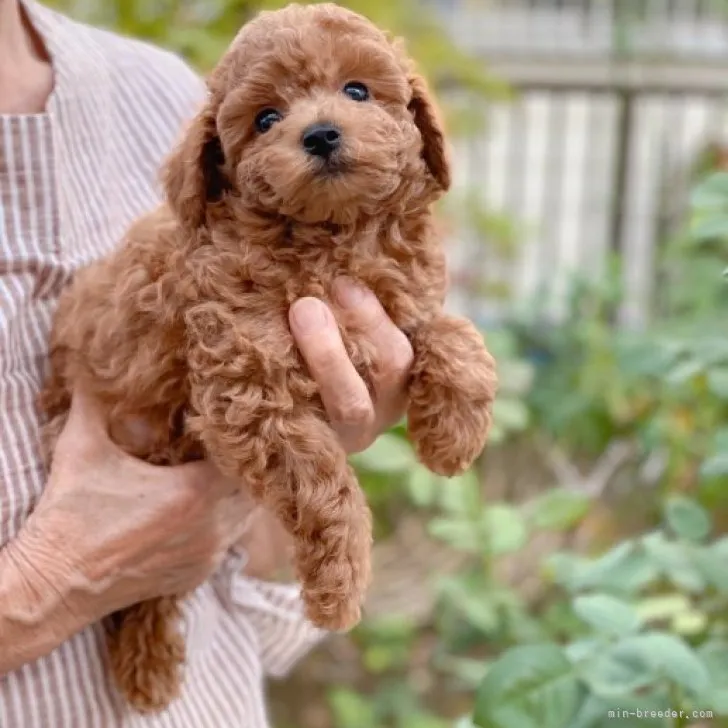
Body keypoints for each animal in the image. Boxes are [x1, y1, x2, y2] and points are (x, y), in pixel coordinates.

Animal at [38, 2, 494, 712]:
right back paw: (148, 663)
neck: (329, 236)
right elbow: (324, 483)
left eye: (357, 90)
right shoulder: (249, 383)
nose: (322, 134)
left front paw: (455, 434)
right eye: (265, 119)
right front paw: (339, 585)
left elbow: (453, 332)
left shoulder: (397, 303)